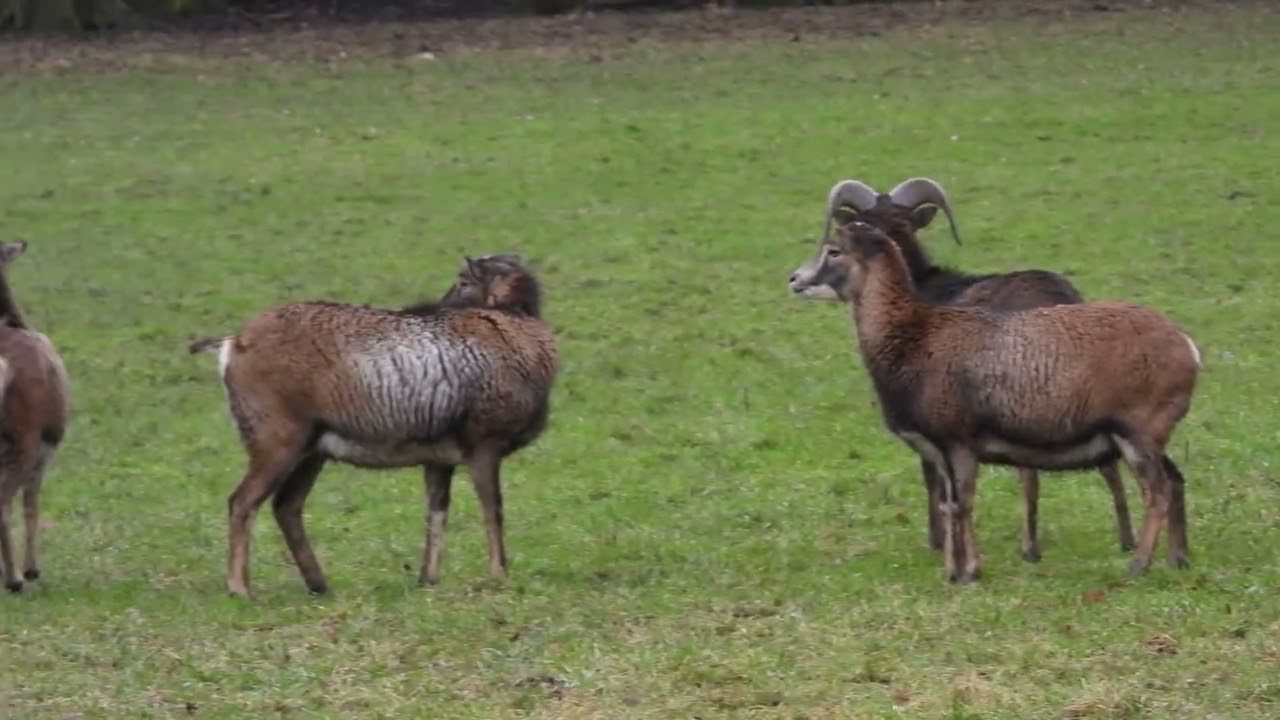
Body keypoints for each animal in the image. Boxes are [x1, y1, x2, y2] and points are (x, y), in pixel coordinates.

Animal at [188, 253, 558, 598]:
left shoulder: (440, 461)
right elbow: (493, 510)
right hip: (278, 444)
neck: (511, 330)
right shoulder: (484, 447)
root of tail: (234, 344)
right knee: (243, 502)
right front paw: (498, 576)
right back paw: (240, 589)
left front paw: (427, 580)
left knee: (286, 506)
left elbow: (436, 514)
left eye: (464, 282)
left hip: (310, 453)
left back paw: (319, 585)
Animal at [788, 219, 1199, 583]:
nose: (795, 280)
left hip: (1137, 435)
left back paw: (1138, 565)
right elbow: (948, 505)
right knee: (1175, 481)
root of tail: (1187, 348)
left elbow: (963, 504)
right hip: (1148, 439)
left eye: (834, 251)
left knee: (1158, 491)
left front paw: (969, 572)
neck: (912, 338)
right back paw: (1178, 559)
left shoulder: (959, 445)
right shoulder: (940, 454)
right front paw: (953, 572)